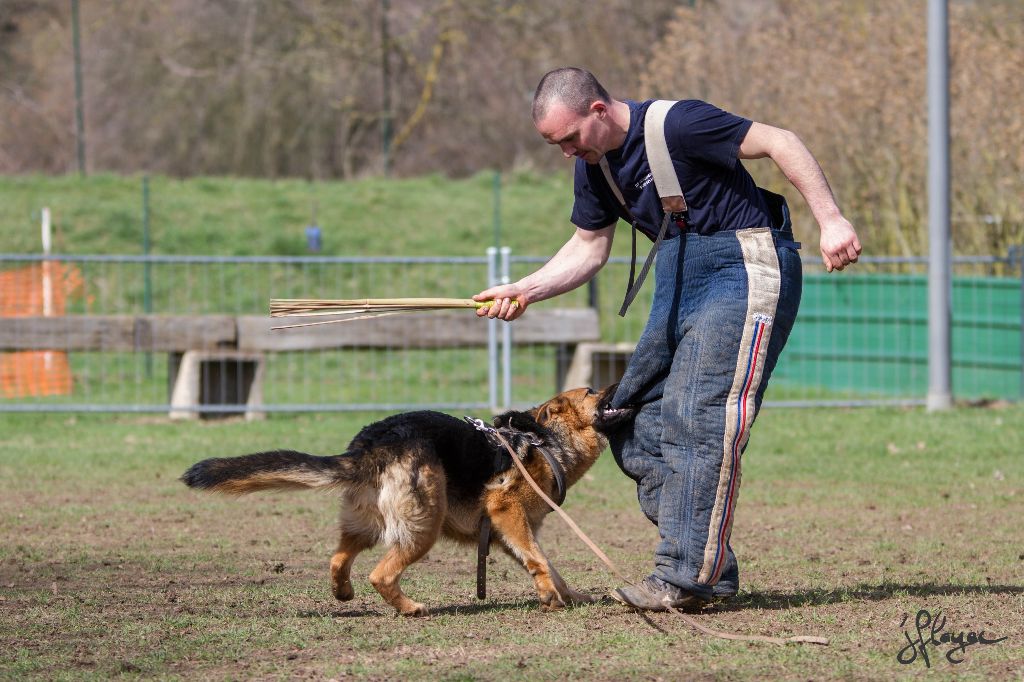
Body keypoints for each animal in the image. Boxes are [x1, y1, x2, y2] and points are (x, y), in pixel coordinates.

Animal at [183, 385, 630, 614]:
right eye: (593, 391)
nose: (619, 380)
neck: (546, 440)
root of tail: (371, 442)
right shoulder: (508, 514)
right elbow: (539, 560)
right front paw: (550, 597)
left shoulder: (509, 532)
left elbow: (548, 564)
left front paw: (569, 596)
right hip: (423, 526)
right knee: (381, 574)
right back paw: (410, 608)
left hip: (366, 524)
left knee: (338, 559)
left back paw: (344, 594)